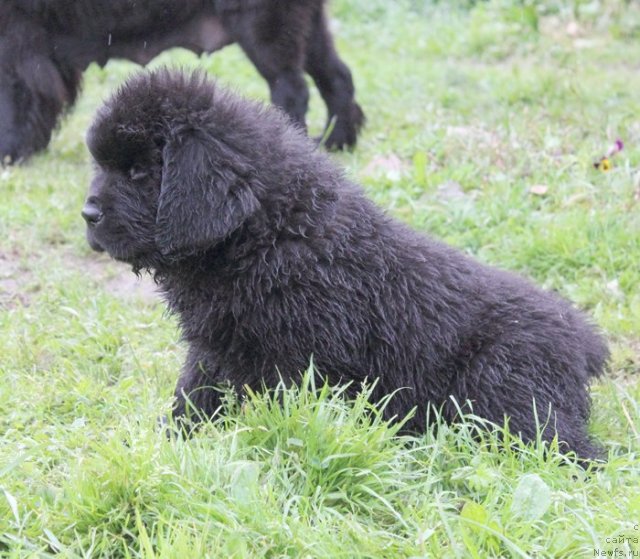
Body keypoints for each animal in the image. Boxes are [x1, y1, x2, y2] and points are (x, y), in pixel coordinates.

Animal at [0, 1, 364, 164]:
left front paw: (9, 151)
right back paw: (336, 143)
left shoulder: (17, 43)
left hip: (265, 32)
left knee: (292, 90)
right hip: (309, 29)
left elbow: (17, 99)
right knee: (338, 79)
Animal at [82, 70, 608, 462]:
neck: (262, 236)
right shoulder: (215, 346)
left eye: (138, 172)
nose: (87, 214)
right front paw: (159, 445)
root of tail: (586, 342)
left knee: (573, 452)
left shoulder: (294, 361)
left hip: (504, 390)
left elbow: (282, 421)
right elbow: (192, 396)